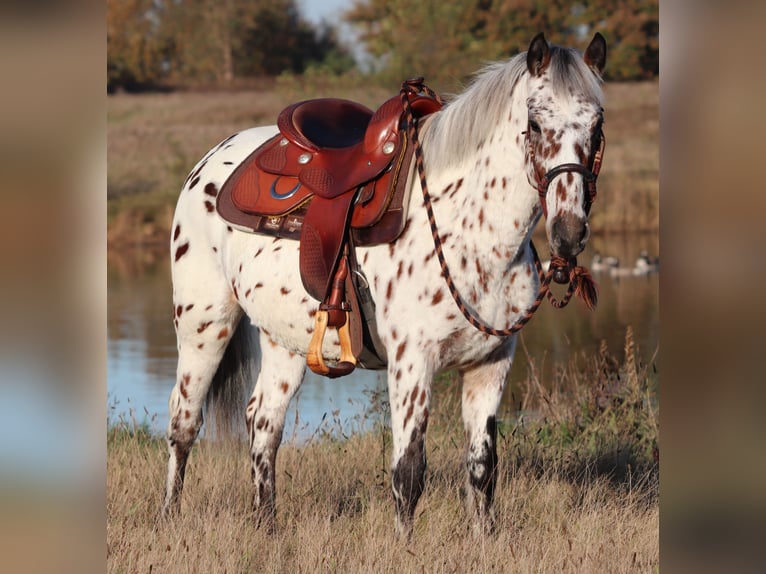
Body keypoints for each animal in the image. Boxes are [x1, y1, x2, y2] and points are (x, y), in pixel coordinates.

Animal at [165, 32, 608, 540]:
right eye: (534, 123)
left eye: (597, 125)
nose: (568, 233)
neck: (469, 230)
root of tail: (211, 161)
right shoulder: (412, 364)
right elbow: (408, 471)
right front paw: (406, 546)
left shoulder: (491, 365)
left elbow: (482, 468)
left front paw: (484, 541)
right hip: (204, 325)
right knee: (183, 423)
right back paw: (169, 518)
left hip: (284, 342)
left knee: (263, 423)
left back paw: (266, 527)